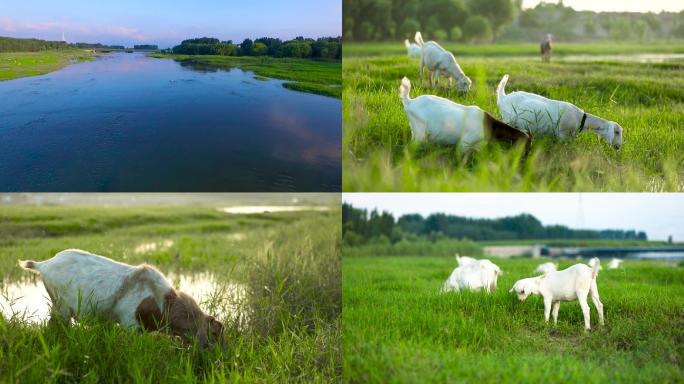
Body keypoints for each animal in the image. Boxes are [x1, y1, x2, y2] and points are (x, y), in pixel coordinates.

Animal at [19, 249, 222, 348]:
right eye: (214, 334)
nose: (220, 357)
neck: (162, 302)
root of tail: (43, 264)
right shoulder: (130, 323)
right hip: (61, 306)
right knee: (55, 325)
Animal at [494, 74, 624, 148]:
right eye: (617, 132)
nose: (618, 147)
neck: (580, 119)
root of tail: (503, 98)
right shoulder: (563, 135)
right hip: (508, 119)